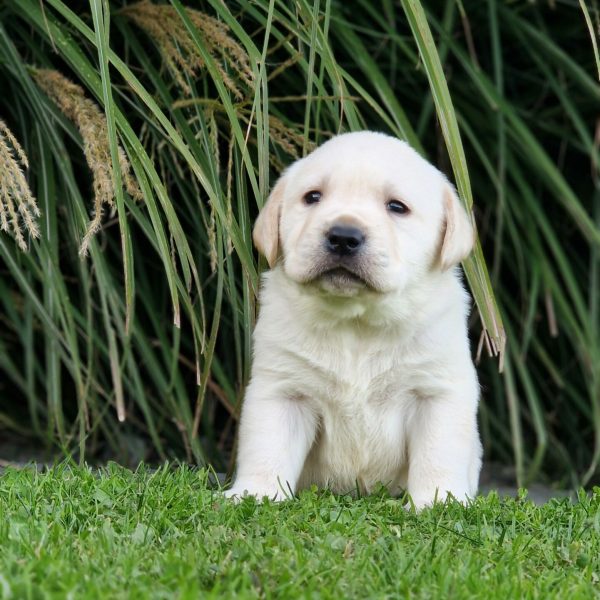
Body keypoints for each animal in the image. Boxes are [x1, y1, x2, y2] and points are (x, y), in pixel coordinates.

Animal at [225, 132, 482, 510]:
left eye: (397, 207)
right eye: (312, 197)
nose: (344, 236)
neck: (357, 321)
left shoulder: (435, 391)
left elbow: (438, 453)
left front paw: (436, 503)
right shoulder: (284, 390)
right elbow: (268, 445)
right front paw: (255, 494)